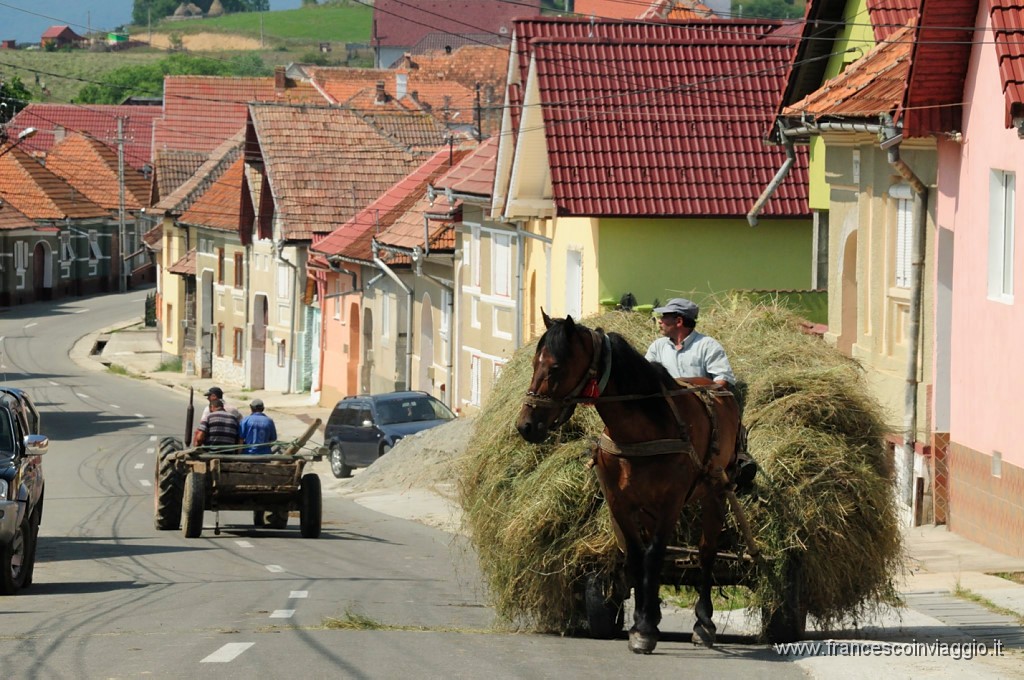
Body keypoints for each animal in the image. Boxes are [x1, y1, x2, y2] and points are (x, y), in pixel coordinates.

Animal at [512, 311, 745, 655]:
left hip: (714, 491)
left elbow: (655, 554)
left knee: (706, 552)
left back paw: (703, 622)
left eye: (555, 367)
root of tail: (712, 387)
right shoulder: (619, 501)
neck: (644, 427)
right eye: (534, 363)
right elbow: (637, 557)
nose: (526, 425)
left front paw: (647, 628)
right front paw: (642, 623)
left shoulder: (671, 502)